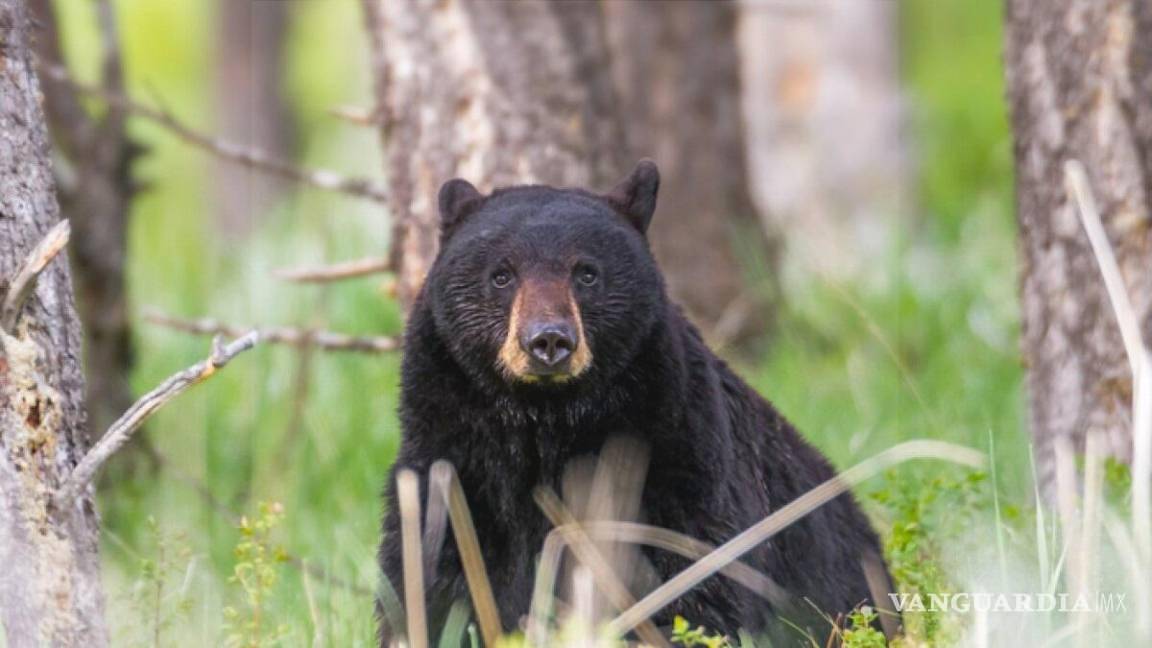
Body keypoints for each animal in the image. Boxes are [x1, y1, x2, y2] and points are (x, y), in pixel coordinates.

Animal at [382, 160, 893, 641]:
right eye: (502, 275)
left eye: (586, 273)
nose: (548, 341)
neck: (545, 424)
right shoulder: (454, 463)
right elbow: (429, 574)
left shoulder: (677, 454)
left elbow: (698, 574)